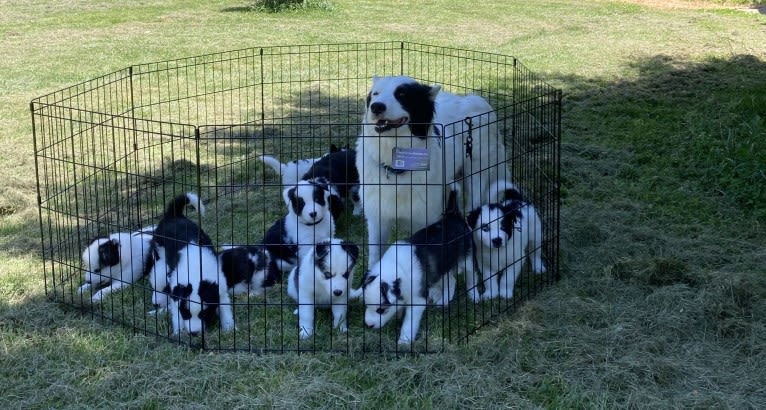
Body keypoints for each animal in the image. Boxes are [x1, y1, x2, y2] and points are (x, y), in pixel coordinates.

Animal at [148, 192, 234, 336]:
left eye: (204, 314)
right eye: (186, 314)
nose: (194, 333)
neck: (196, 271)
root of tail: (174, 214)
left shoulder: (219, 288)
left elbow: (224, 308)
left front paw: (229, 328)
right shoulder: (176, 293)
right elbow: (176, 314)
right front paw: (178, 332)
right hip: (160, 256)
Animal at [356, 75, 508, 264]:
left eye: (402, 95)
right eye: (375, 94)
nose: (376, 107)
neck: (397, 163)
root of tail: (473, 98)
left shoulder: (426, 218)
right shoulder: (377, 218)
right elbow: (376, 258)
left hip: (476, 174)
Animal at [356, 189, 476, 346]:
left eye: (381, 310)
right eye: (366, 305)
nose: (368, 325)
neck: (397, 266)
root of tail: (454, 216)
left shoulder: (418, 299)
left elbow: (409, 322)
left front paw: (404, 340)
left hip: (467, 260)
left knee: (471, 276)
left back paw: (474, 296)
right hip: (439, 270)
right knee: (451, 280)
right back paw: (443, 302)